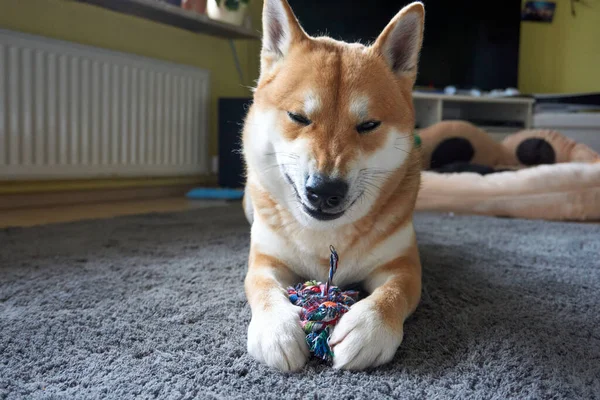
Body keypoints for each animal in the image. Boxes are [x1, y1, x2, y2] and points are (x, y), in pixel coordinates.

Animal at [241, 0, 424, 370]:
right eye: (298, 117)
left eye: (368, 125)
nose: (325, 191)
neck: (324, 239)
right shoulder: (266, 261)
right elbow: (262, 287)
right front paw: (276, 329)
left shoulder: (403, 265)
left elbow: (395, 291)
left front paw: (369, 327)